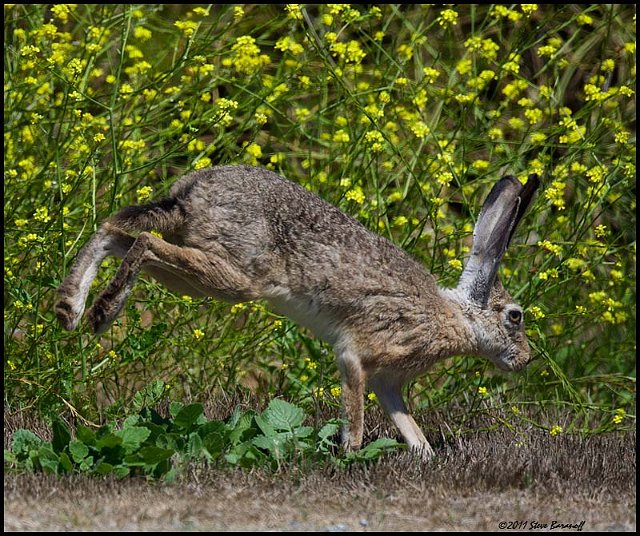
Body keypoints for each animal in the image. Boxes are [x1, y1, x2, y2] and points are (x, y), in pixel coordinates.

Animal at [55, 165, 540, 457]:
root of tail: (191, 191)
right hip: (235, 278)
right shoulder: (359, 354)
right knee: (142, 241)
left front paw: (425, 456)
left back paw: (70, 308)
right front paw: (350, 455)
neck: (458, 316)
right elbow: (355, 414)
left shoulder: (389, 383)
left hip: (198, 264)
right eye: (514, 316)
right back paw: (102, 312)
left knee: (114, 232)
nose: (527, 359)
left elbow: (407, 425)